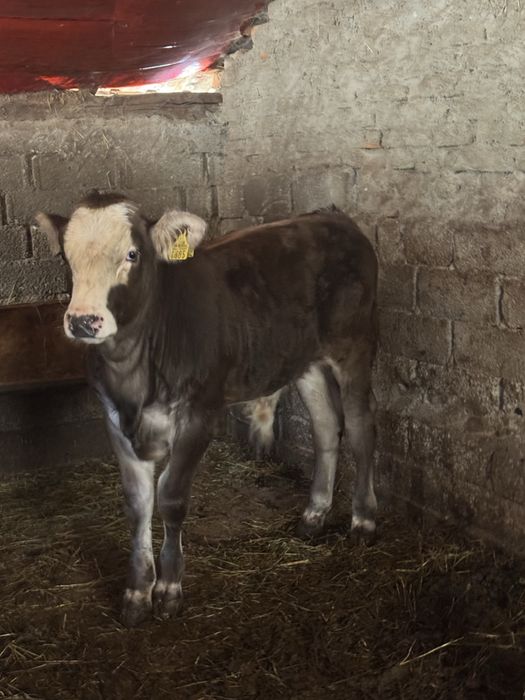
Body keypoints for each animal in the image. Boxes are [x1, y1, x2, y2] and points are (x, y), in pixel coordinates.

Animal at [36, 191, 378, 627]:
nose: (83, 321)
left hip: (355, 346)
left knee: (361, 428)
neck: (135, 373)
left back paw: (363, 521)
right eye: (66, 255)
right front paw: (136, 593)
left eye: (132, 253)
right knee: (326, 427)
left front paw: (168, 590)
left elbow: (170, 497)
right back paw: (314, 515)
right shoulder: (113, 418)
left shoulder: (199, 413)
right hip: (306, 361)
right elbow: (138, 503)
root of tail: (333, 217)